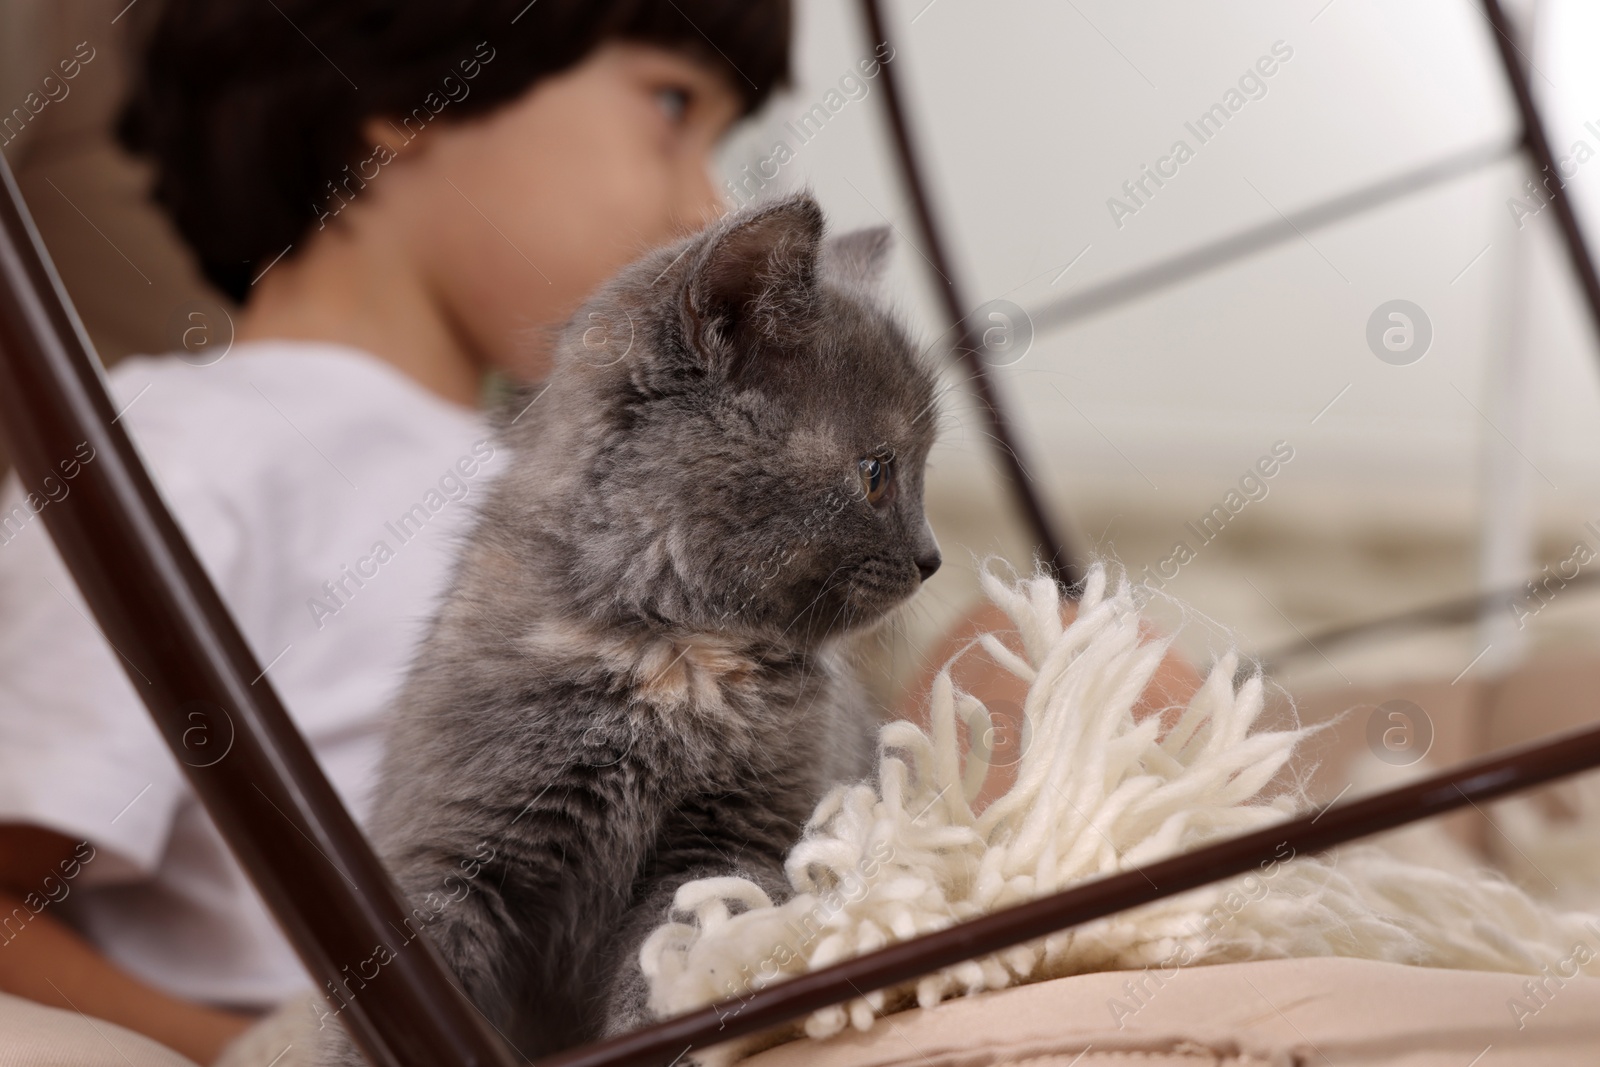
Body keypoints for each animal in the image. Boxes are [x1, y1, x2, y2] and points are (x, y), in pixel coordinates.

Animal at [308, 191, 934, 1067]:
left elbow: (681, 935)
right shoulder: (451, 842)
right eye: (878, 474)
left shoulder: (735, 833)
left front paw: (666, 1022)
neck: (668, 652)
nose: (930, 556)